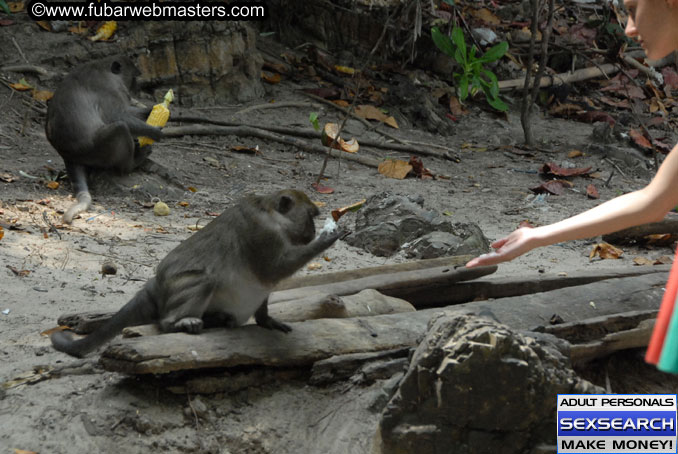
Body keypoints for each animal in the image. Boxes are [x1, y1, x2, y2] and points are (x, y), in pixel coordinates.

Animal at [45, 55, 165, 223]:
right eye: (134, 77)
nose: (136, 89)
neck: (104, 68)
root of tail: (68, 156)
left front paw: (152, 110)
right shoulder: (110, 89)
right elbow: (118, 116)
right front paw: (154, 132)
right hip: (97, 149)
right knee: (120, 128)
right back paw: (133, 162)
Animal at [51, 189, 346, 358]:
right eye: (310, 216)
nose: (312, 229)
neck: (273, 215)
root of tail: (155, 284)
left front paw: (265, 320)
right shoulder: (262, 233)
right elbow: (273, 270)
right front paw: (327, 238)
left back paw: (219, 319)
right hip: (178, 288)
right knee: (203, 280)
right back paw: (178, 322)